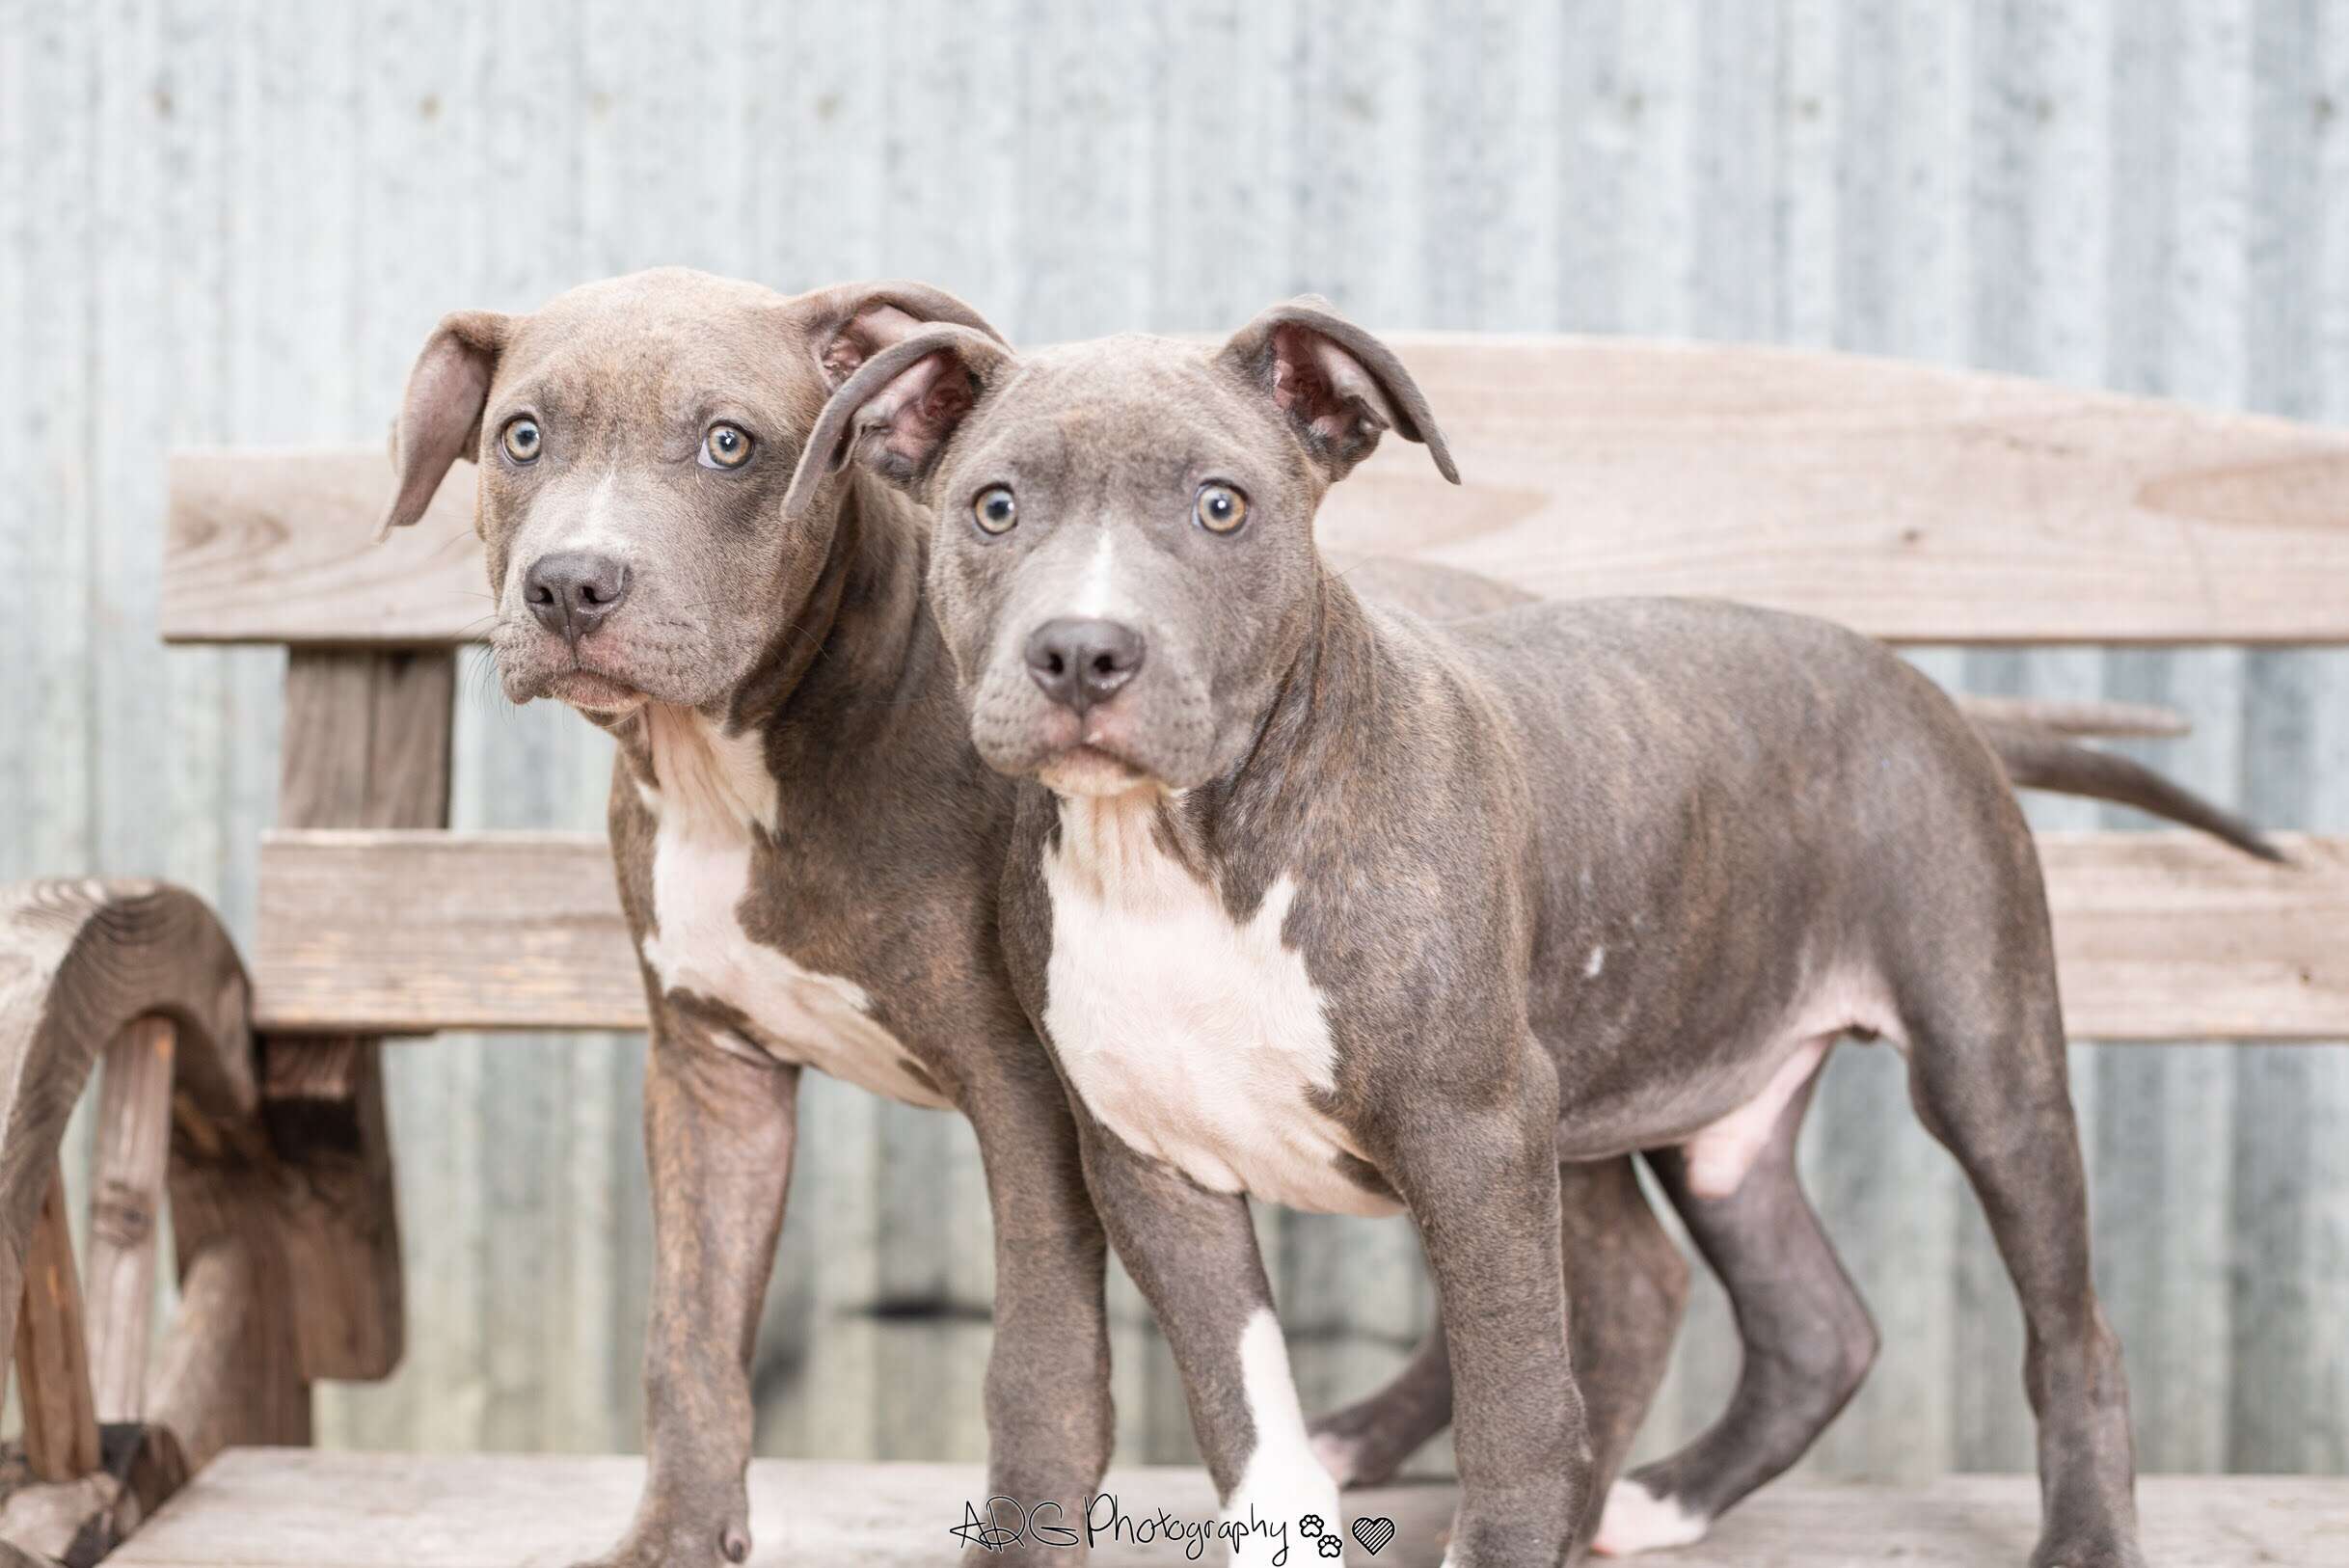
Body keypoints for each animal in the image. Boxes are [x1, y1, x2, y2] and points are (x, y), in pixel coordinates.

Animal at [794, 297, 2274, 1568]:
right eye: (993, 507)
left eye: (1223, 506)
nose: (1082, 651)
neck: (1190, 853)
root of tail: (1927, 688)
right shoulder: (1155, 1159)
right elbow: (1247, 1408)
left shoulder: (1475, 1125)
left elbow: (1513, 1407)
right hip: (1699, 1103)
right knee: (1803, 1320)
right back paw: (1663, 1495)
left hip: (1981, 1055)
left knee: (2068, 1330)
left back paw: (2078, 1537)